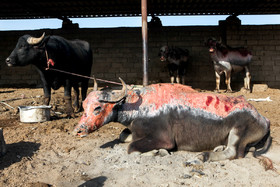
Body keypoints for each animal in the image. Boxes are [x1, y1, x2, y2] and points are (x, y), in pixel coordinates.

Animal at [72, 79, 272, 161]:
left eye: (98, 108)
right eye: (84, 106)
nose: (78, 130)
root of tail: (264, 119)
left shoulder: (165, 140)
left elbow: (131, 148)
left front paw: (158, 152)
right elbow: (123, 137)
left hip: (238, 131)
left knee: (234, 152)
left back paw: (204, 156)